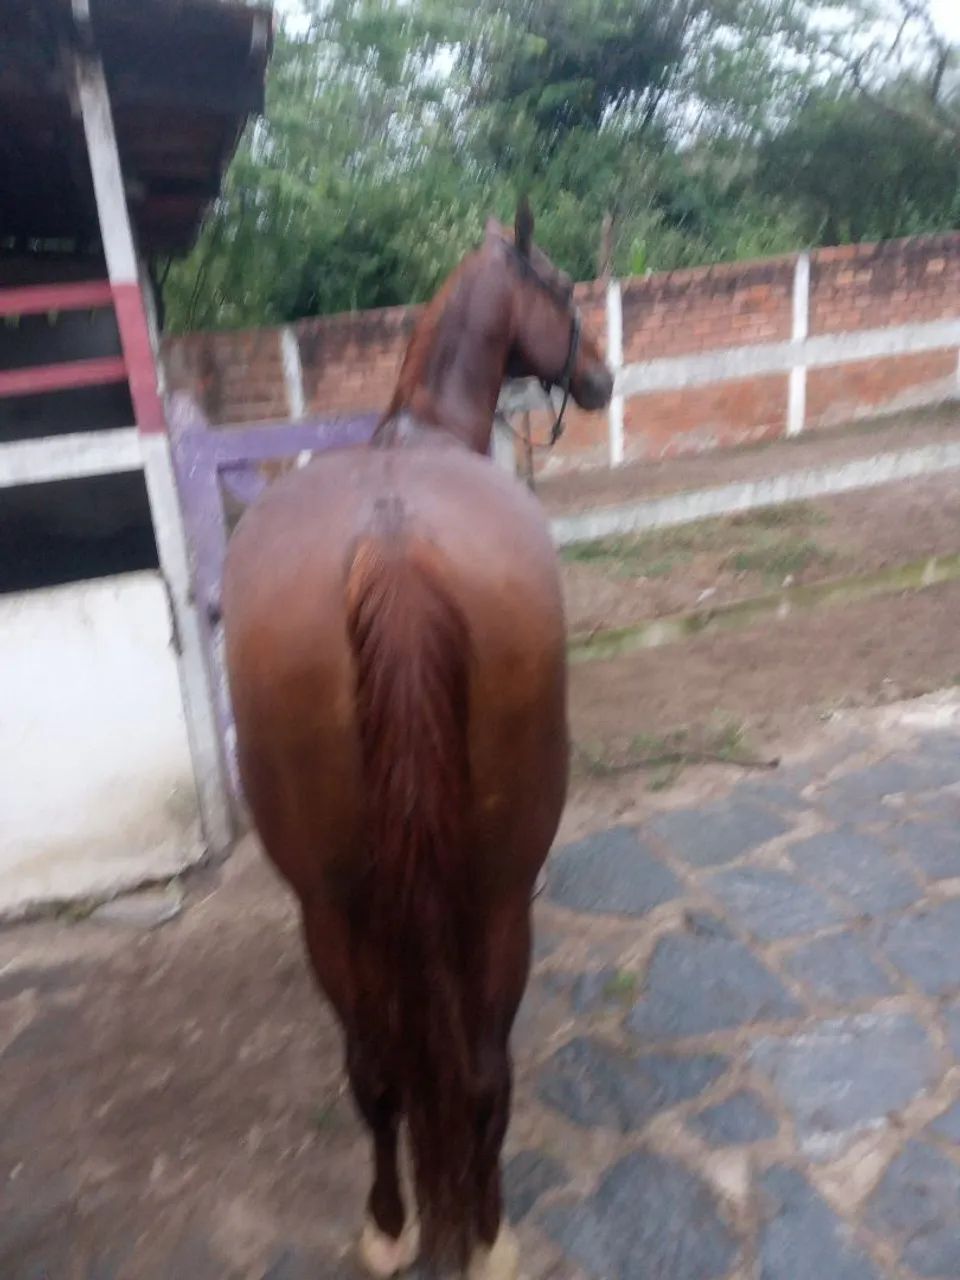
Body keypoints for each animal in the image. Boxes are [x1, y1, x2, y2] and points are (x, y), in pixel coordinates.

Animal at [222, 202, 613, 1279]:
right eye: (562, 288)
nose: (603, 379)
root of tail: (392, 547)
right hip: (498, 895)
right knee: (478, 1068)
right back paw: (487, 1229)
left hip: (329, 907)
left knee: (379, 1073)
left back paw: (391, 1224)